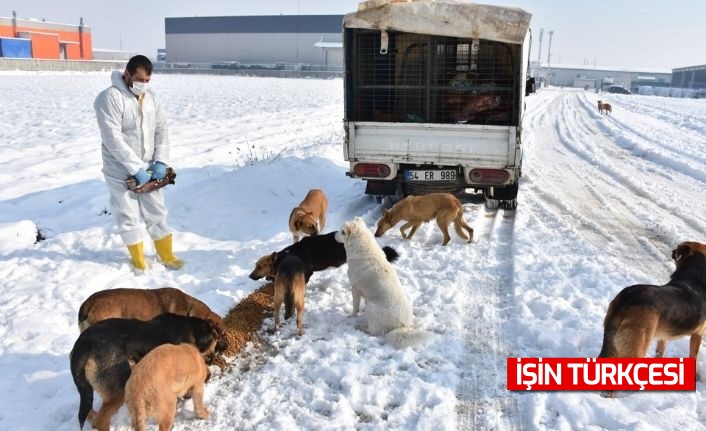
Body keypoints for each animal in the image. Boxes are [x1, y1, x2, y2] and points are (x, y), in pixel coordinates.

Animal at [334, 218, 428, 350]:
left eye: (342, 232)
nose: (334, 234)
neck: (363, 250)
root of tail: (402, 326)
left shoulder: (355, 288)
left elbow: (355, 306)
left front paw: (352, 316)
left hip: (372, 308)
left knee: (374, 331)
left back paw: (361, 328)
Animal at [596, 241, 704, 396]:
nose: (672, 251)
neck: (693, 274)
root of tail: (627, 298)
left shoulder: (664, 334)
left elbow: (660, 350)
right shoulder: (697, 334)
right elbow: (693, 356)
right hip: (639, 344)